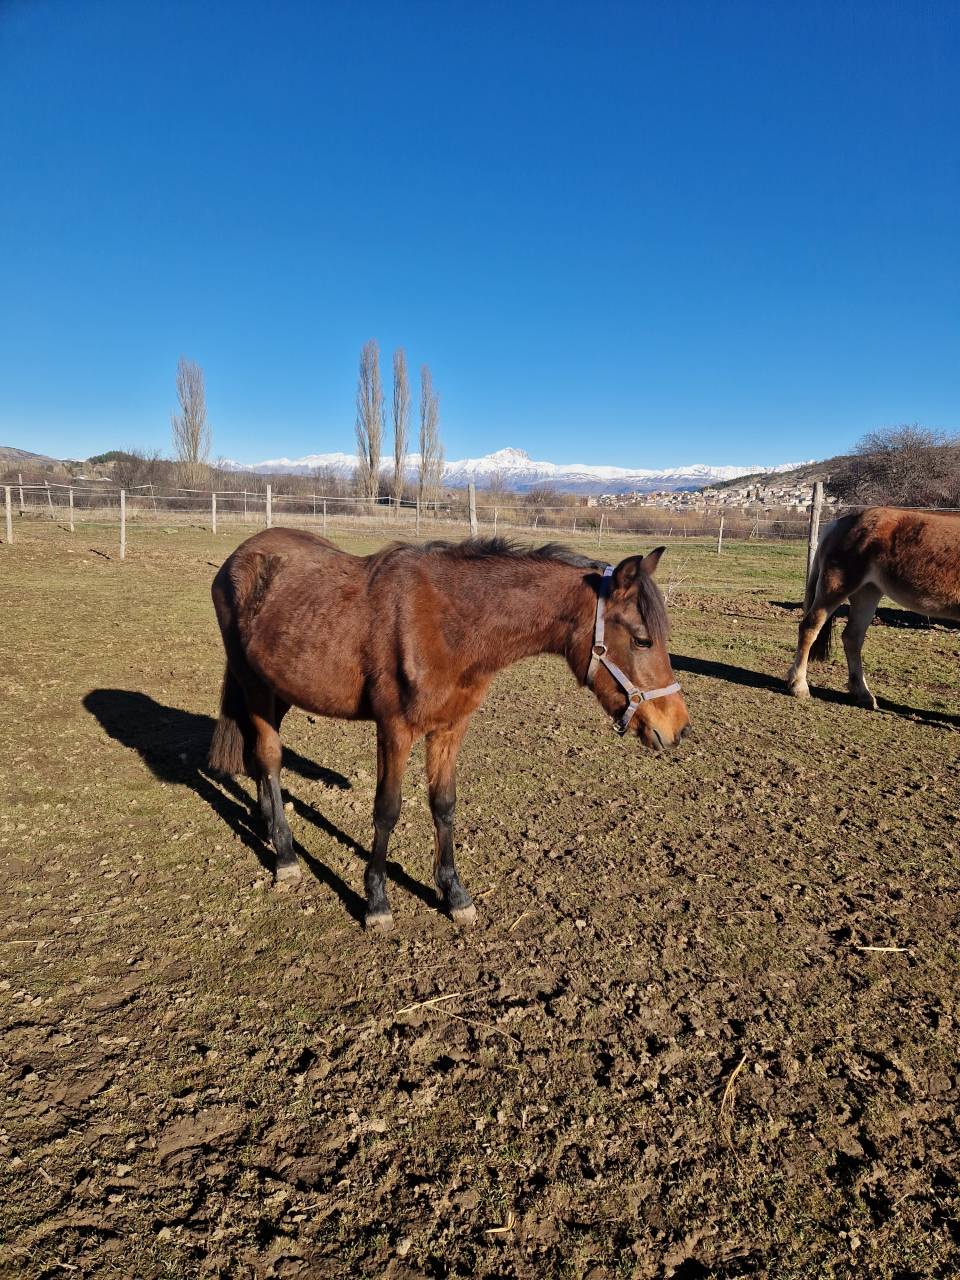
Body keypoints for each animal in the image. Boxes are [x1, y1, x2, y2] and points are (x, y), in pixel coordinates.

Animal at [208, 530, 690, 930]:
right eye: (643, 639)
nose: (678, 727)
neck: (449, 624)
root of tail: (242, 553)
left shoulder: (450, 729)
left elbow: (444, 805)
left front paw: (453, 893)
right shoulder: (395, 730)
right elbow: (387, 810)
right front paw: (376, 901)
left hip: (279, 688)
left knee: (260, 757)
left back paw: (267, 823)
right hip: (254, 685)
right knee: (269, 756)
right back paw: (285, 854)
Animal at [786, 506, 960, 708]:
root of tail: (840, 523)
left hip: (867, 592)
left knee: (852, 637)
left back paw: (863, 694)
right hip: (836, 588)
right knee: (809, 628)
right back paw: (799, 686)